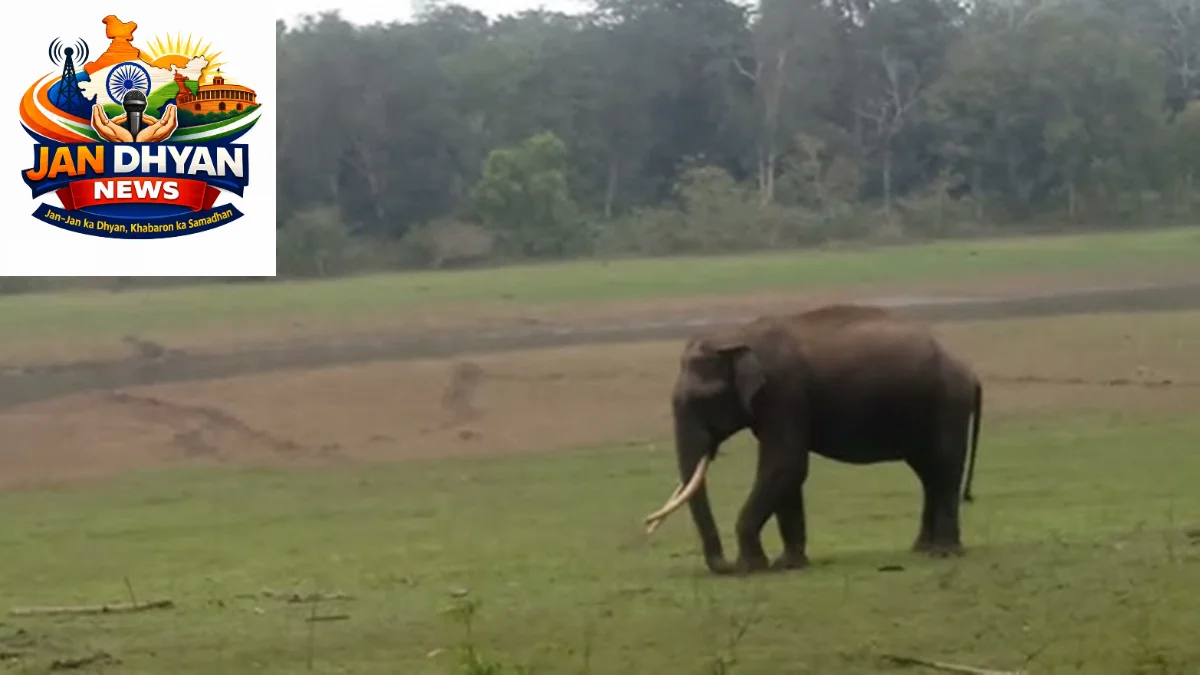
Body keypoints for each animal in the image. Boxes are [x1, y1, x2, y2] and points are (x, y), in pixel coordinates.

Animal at [643, 303, 982, 575]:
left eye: (704, 400)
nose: (724, 566)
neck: (738, 336)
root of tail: (968, 370)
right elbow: (786, 473)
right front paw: (788, 564)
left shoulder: (782, 391)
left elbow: (785, 464)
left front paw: (752, 567)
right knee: (928, 473)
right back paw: (922, 549)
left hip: (948, 404)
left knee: (945, 466)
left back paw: (944, 552)